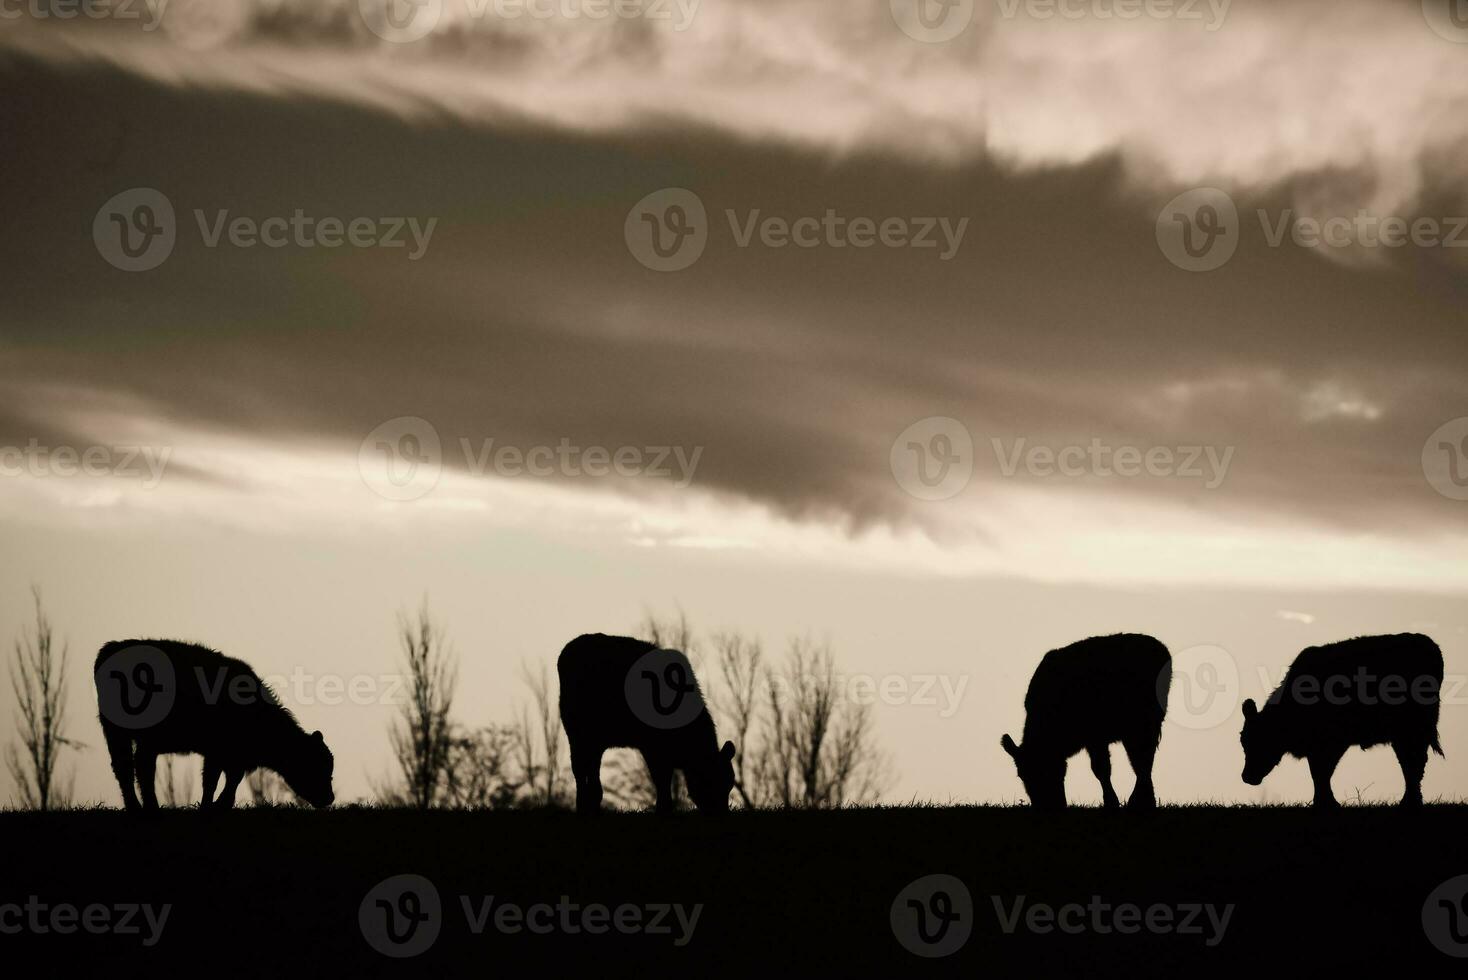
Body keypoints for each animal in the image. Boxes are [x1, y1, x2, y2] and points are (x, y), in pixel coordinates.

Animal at [97, 639, 336, 809]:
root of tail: (113, 647)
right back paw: (145, 807)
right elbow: (212, 780)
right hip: (130, 736)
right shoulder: (216, 752)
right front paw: (212, 805)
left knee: (131, 768)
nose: (329, 798)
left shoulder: (232, 756)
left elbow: (231, 779)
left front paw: (220, 804)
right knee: (134, 769)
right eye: (314, 765)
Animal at [560, 630, 739, 815]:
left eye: (729, 784)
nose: (721, 812)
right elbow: (661, 778)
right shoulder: (652, 747)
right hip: (576, 731)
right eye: (710, 781)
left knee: (591, 768)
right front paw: (663, 808)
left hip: (594, 740)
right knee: (580, 768)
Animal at [998, 636, 1168, 809]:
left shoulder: (1096, 737)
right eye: (1022, 775)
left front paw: (1111, 802)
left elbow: (1102, 768)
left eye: (1047, 771)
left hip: (1145, 723)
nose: (1048, 805)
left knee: (1143, 760)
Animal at [1238, 630, 1444, 809]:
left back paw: (1410, 801)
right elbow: (1318, 772)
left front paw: (1326, 802)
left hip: (1413, 729)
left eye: (1260, 740)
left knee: (1413, 762)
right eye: (1243, 742)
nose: (1246, 777)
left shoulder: (1331, 741)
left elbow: (1321, 771)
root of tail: (1427, 642)